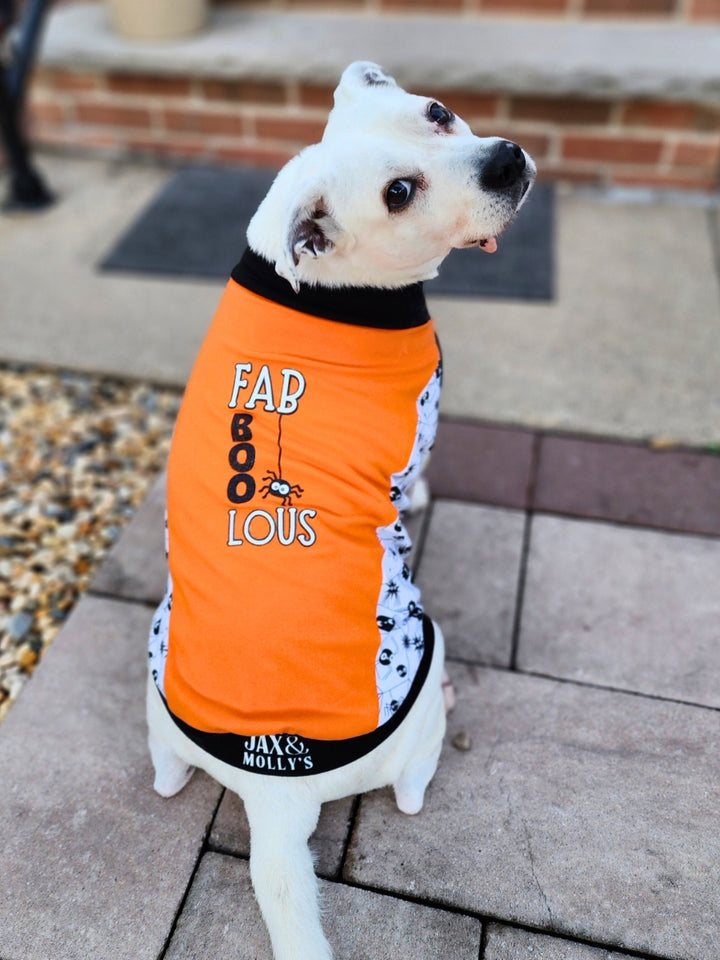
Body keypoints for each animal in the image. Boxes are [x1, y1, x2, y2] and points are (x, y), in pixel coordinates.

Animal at [146, 60, 532, 960]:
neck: (334, 285)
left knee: (165, 774)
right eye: (398, 192)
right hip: (422, 666)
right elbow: (418, 472)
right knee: (415, 786)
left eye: (438, 111)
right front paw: (416, 496)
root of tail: (274, 797)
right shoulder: (422, 420)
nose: (505, 161)